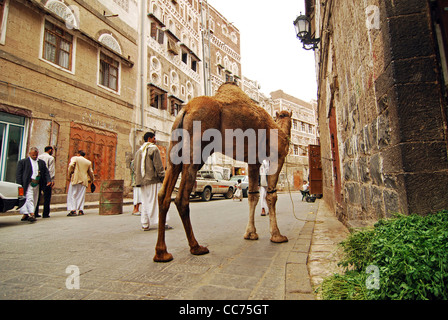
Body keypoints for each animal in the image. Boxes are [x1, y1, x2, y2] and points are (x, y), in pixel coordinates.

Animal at [154, 82, 294, 262]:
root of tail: (186, 110)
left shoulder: (253, 160)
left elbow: (253, 196)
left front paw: (250, 233)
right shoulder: (277, 157)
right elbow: (271, 195)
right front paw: (277, 236)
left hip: (175, 146)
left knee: (163, 194)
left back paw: (162, 253)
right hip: (198, 147)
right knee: (181, 198)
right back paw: (196, 247)